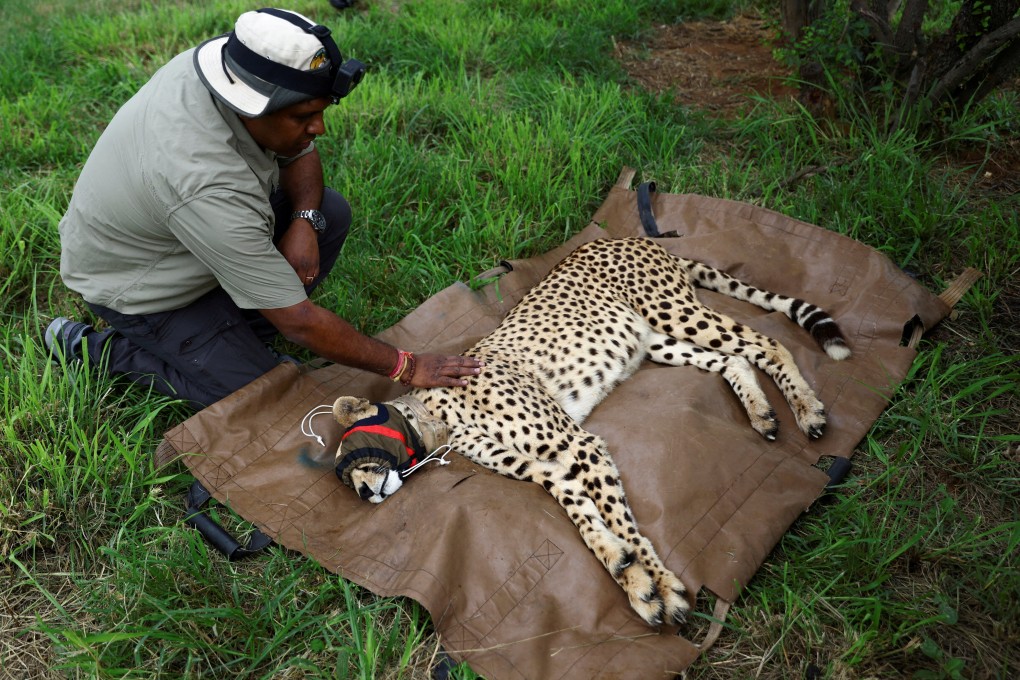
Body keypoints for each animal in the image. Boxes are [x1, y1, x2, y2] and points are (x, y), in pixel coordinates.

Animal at [331, 236, 851, 627]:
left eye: (351, 456)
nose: (362, 494)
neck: (435, 417)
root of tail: (623, 236)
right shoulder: (549, 467)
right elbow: (581, 512)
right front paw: (633, 579)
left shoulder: (578, 443)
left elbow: (626, 523)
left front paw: (663, 586)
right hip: (654, 340)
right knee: (731, 359)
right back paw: (760, 411)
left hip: (673, 311)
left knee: (768, 340)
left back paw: (807, 409)